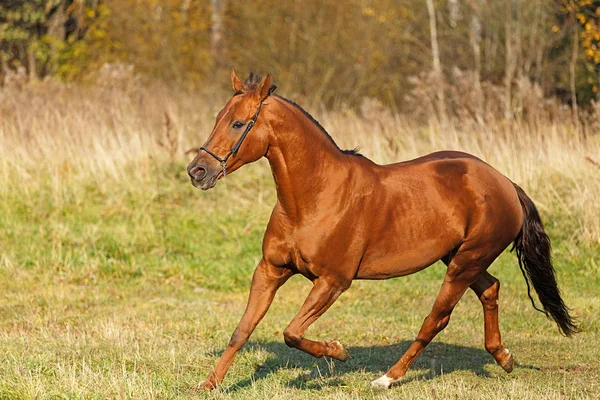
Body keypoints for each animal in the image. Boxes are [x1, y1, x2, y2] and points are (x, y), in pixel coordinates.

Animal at [186, 70, 576, 390]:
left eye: (239, 124)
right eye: (218, 118)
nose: (198, 171)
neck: (314, 197)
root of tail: (505, 183)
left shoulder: (333, 281)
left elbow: (292, 332)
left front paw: (337, 351)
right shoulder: (270, 270)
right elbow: (242, 330)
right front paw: (208, 385)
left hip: (464, 263)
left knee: (436, 318)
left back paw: (387, 378)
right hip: (461, 258)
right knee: (490, 290)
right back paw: (503, 357)